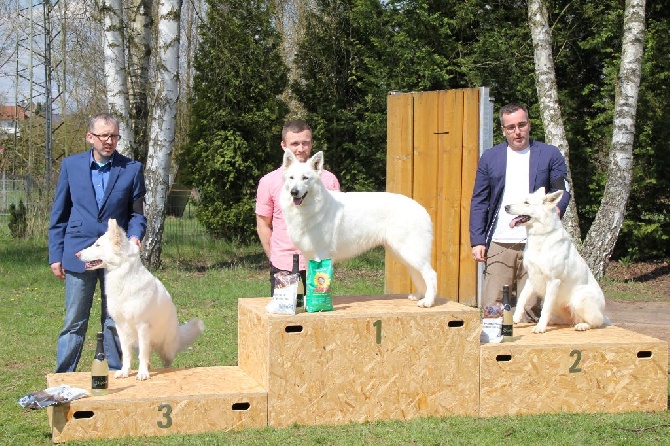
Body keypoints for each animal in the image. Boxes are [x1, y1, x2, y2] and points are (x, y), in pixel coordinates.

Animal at [77, 220, 205, 380]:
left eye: (97, 245)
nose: (76, 254)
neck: (124, 278)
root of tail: (177, 330)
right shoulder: (121, 327)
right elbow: (127, 354)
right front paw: (125, 371)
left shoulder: (142, 326)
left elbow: (143, 355)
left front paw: (142, 373)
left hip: (166, 349)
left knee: (166, 361)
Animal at [280, 149, 440, 306]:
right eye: (291, 178)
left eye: (305, 178)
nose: (294, 192)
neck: (312, 207)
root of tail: (421, 209)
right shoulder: (309, 257)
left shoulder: (322, 254)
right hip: (403, 253)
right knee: (418, 274)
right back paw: (419, 296)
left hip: (411, 252)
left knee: (431, 274)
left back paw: (428, 301)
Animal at [506, 187, 612, 332]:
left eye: (526, 202)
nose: (505, 207)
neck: (542, 236)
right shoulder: (531, 278)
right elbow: (522, 297)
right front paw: (515, 317)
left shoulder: (553, 281)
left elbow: (545, 308)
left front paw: (540, 328)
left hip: (579, 297)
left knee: (597, 322)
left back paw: (582, 325)